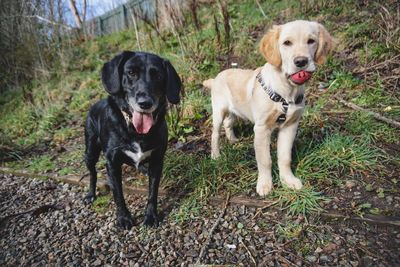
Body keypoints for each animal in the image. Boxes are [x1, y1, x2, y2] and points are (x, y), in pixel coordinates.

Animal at [84, 51, 181, 229]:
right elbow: (118, 194)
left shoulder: (157, 160)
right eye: (131, 73)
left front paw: (151, 216)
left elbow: (153, 192)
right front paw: (124, 218)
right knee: (92, 172)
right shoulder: (112, 164)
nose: (145, 103)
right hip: (90, 151)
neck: (136, 131)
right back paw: (90, 194)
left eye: (158, 75)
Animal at [205, 20, 332, 197]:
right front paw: (265, 184)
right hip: (219, 110)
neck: (286, 92)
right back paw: (215, 155)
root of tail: (216, 77)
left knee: (228, 123)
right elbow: (265, 160)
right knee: (215, 133)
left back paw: (233, 139)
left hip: (235, 111)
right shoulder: (261, 128)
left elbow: (284, 157)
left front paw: (288, 180)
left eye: (311, 41)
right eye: (287, 43)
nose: (301, 62)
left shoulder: (290, 126)